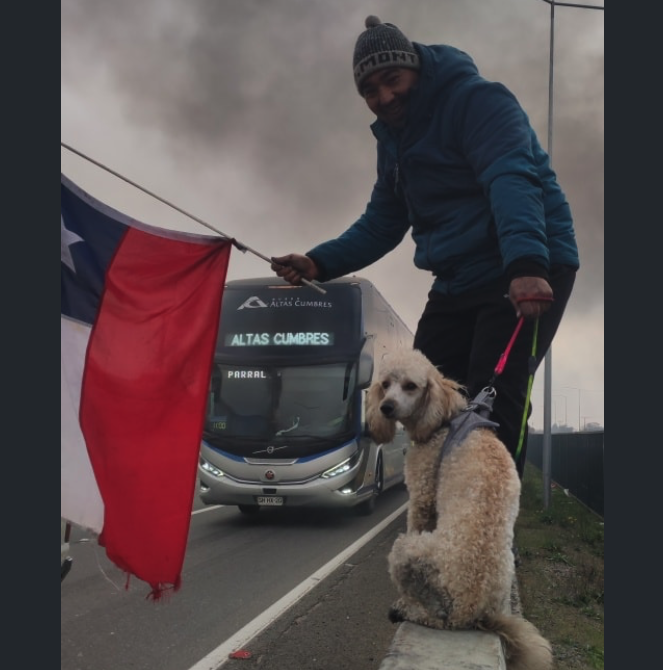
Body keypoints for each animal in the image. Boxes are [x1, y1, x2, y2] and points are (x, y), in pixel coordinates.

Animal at [366, 350, 552, 670]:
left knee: (434, 617)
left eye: (411, 386)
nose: (386, 407)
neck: (445, 422)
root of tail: (472, 610)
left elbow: (417, 517)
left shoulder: (423, 493)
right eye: (386, 384)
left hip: (408, 553)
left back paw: (404, 608)